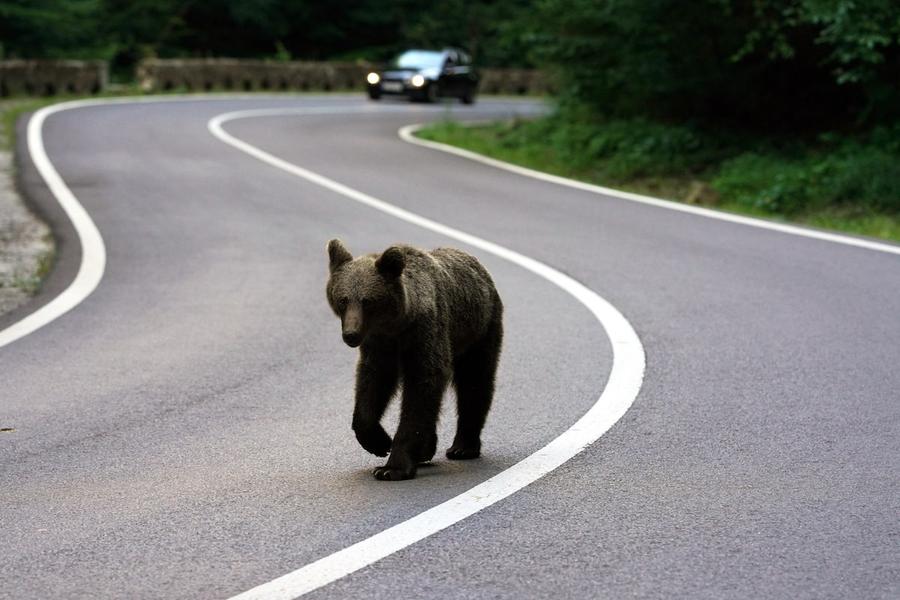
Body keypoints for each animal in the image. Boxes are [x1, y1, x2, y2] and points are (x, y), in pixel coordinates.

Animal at [326, 239, 503, 481]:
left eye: (367, 301)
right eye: (343, 299)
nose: (351, 334)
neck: (397, 325)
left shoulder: (424, 333)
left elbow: (422, 387)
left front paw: (392, 467)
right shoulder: (380, 345)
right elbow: (372, 384)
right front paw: (379, 442)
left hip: (479, 329)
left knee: (474, 381)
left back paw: (463, 447)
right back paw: (428, 449)